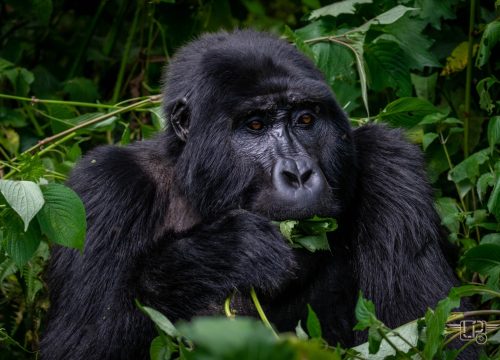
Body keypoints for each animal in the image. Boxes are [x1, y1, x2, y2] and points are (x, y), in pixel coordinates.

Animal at [42, 29, 460, 358]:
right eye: (255, 125)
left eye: (305, 119)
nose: (299, 173)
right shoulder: (106, 187)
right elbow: (86, 341)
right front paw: (223, 252)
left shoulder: (390, 161)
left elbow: (426, 333)